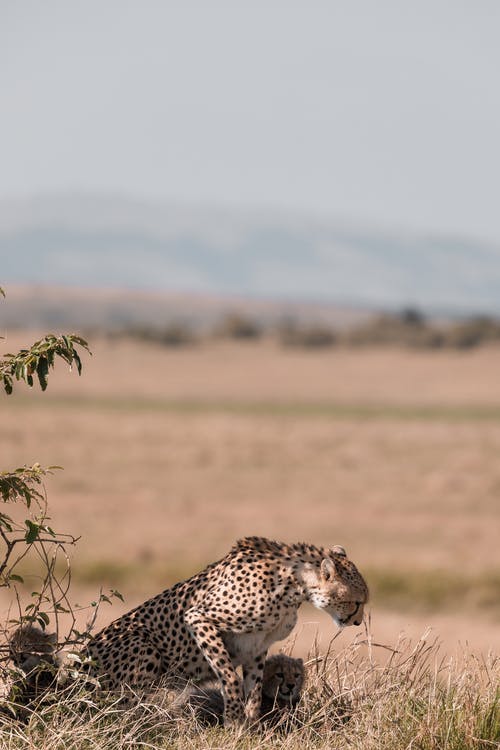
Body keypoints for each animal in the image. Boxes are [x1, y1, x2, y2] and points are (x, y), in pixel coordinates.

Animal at [86, 536, 368, 724]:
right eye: (357, 602)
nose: (357, 622)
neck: (295, 586)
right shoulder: (199, 617)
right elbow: (230, 677)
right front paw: (232, 720)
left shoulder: (257, 645)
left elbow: (254, 688)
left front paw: (250, 727)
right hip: (143, 647)